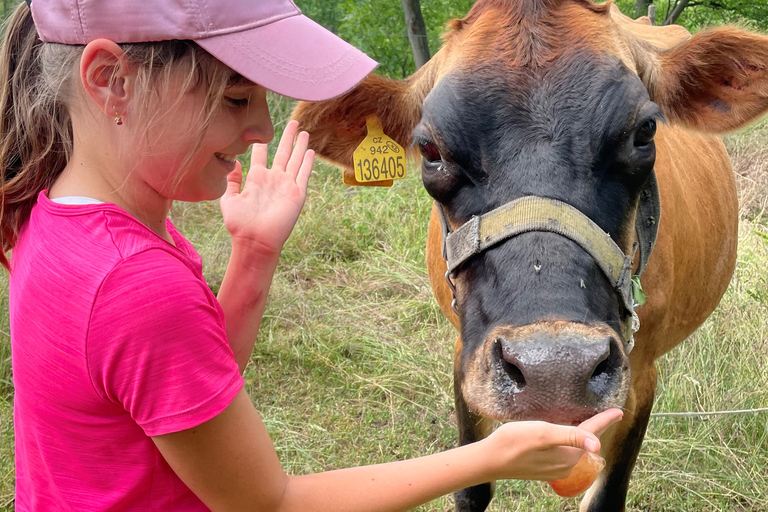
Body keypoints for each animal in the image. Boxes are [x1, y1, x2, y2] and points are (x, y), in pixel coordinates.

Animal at [290, 2, 768, 510]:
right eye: (430, 148)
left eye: (645, 131)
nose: (554, 370)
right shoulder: (465, 357)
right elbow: (471, 487)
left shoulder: (641, 376)